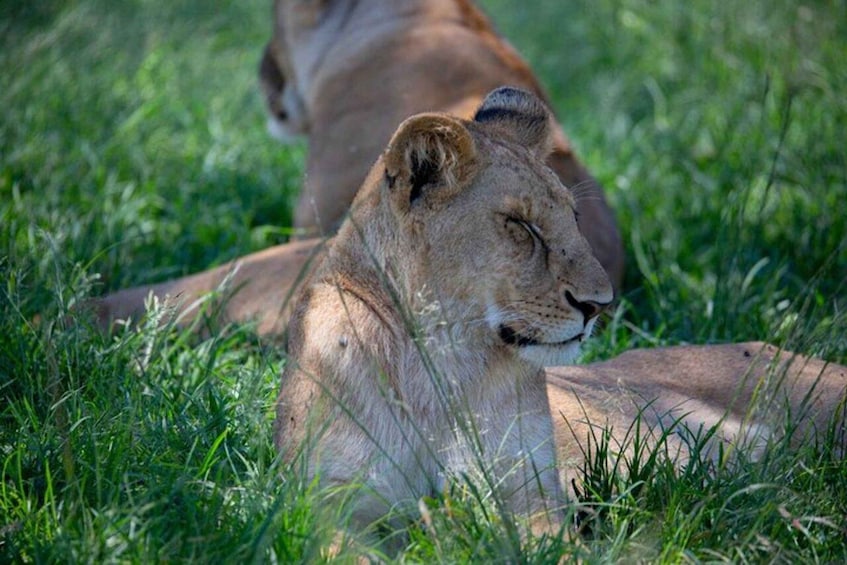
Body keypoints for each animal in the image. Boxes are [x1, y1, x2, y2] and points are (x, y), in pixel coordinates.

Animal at [273, 87, 613, 538]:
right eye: (520, 224)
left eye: (573, 217)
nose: (599, 304)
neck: (442, 352)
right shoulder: (331, 497)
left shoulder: (527, 487)